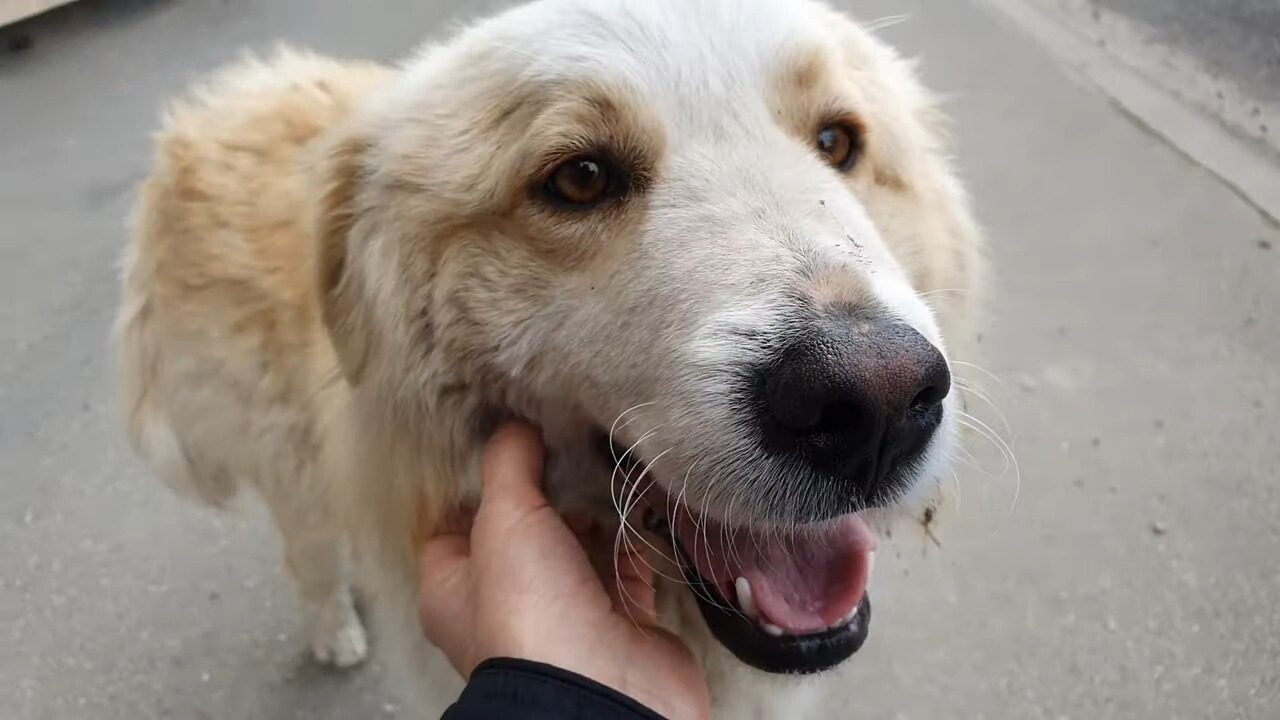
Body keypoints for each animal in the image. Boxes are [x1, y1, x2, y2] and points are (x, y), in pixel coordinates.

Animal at [112, 0, 988, 712]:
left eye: (837, 141)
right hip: (285, 461)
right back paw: (335, 630)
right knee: (310, 552)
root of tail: (224, 97)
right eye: (581, 178)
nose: (873, 403)